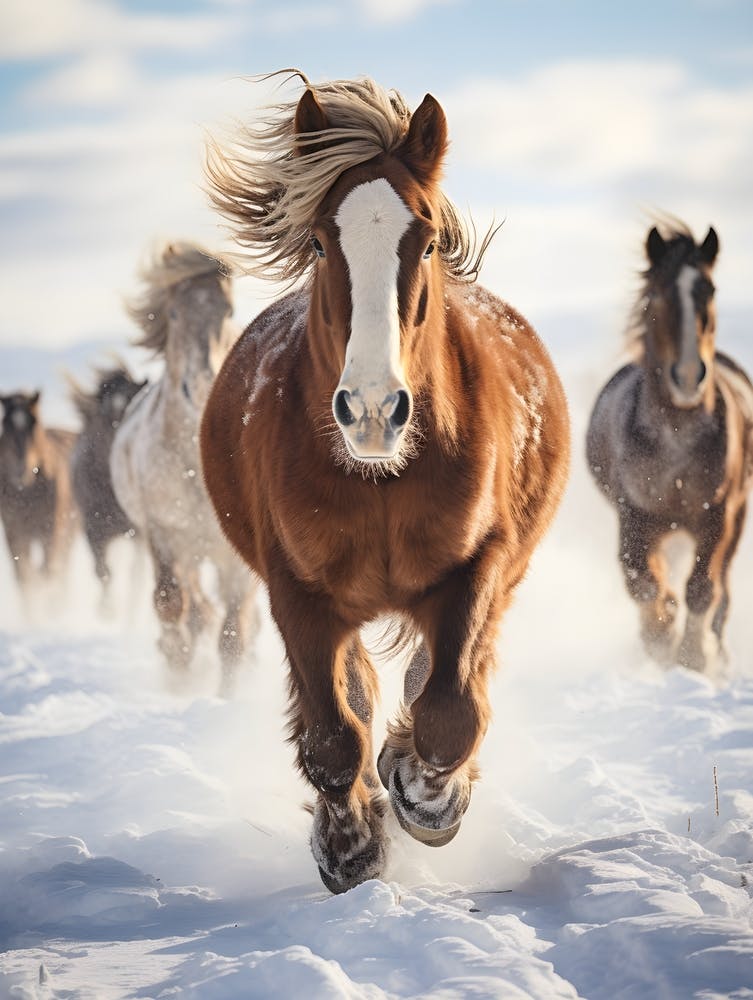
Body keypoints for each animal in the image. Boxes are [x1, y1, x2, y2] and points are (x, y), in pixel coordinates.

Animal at [0, 390, 79, 608]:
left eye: (34, 422)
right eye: (5, 423)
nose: (22, 469)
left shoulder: (51, 530)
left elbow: (46, 572)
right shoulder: (14, 531)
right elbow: (24, 578)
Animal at [70, 363, 147, 608]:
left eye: (134, 400)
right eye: (105, 412)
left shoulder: (140, 531)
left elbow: (136, 577)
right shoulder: (93, 528)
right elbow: (102, 571)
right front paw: (107, 609)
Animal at [109, 241, 259, 689]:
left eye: (227, 310)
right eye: (174, 314)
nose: (203, 384)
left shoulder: (235, 555)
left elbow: (233, 631)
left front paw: (227, 695)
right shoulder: (166, 534)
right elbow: (171, 602)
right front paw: (178, 668)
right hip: (188, 550)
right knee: (193, 607)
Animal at [201, 72, 570, 893]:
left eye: (425, 240)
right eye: (318, 239)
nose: (372, 409)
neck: (380, 480)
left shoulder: (479, 565)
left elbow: (449, 711)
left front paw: (424, 795)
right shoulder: (296, 591)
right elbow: (333, 734)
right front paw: (351, 845)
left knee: (452, 674)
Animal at [587, 221, 753, 675]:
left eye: (709, 290)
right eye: (659, 291)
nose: (689, 376)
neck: (676, 437)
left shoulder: (717, 516)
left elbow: (702, 588)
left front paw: (693, 659)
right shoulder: (636, 516)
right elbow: (644, 585)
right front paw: (661, 643)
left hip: (734, 518)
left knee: (722, 589)